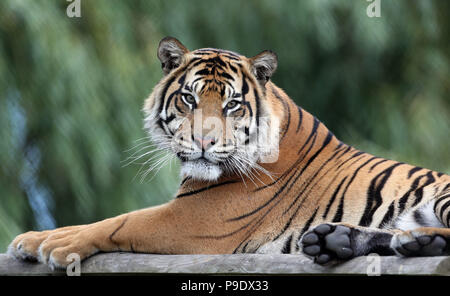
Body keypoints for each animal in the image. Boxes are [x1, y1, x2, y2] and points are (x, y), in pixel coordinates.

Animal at [6, 37, 450, 268]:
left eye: (232, 104)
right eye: (188, 98)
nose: (204, 141)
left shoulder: (194, 218)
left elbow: (117, 222)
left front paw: (55, 246)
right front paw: (30, 240)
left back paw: (417, 244)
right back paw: (336, 240)